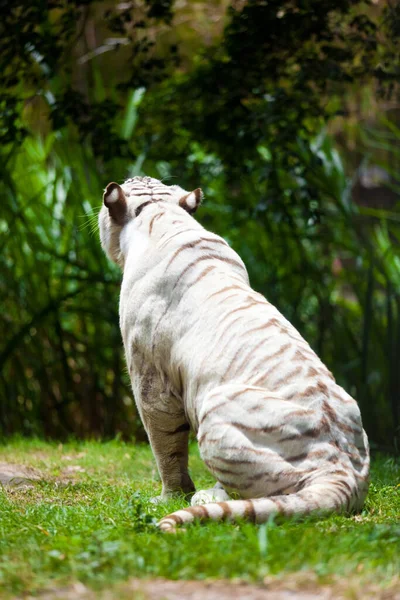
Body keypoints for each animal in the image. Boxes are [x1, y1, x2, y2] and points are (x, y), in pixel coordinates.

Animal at [98, 176, 370, 532]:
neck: (161, 215)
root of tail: (342, 473)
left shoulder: (149, 377)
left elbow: (165, 445)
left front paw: (169, 497)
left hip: (216, 411)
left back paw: (205, 497)